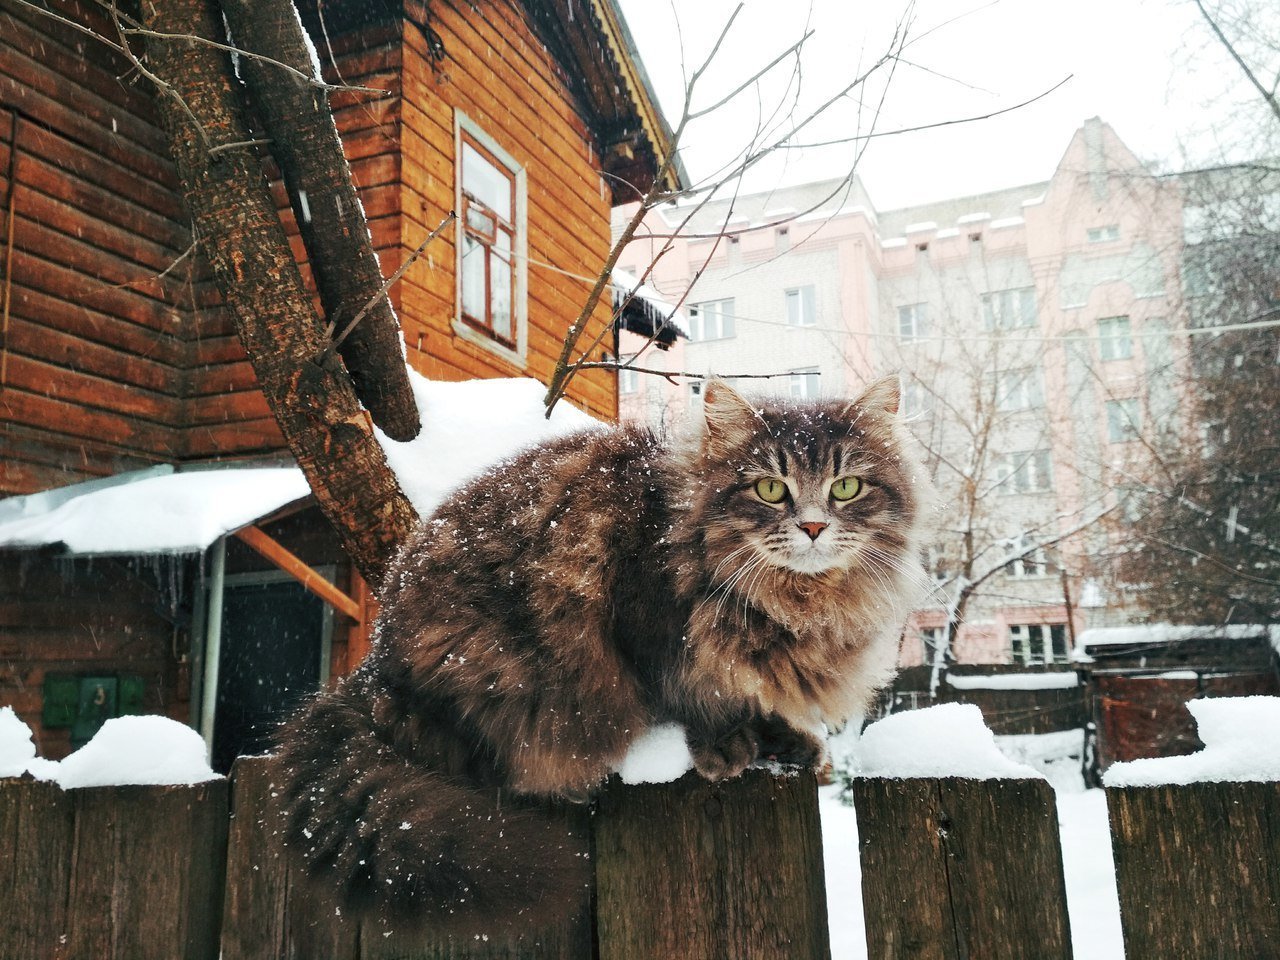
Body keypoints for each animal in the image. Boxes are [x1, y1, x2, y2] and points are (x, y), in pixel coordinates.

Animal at [270, 378, 931, 936]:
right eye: (771, 489)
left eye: (846, 487)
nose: (814, 527)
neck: (794, 602)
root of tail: (374, 662)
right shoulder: (649, 625)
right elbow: (694, 695)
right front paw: (726, 745)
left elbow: (753, 696)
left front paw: (786, 739)